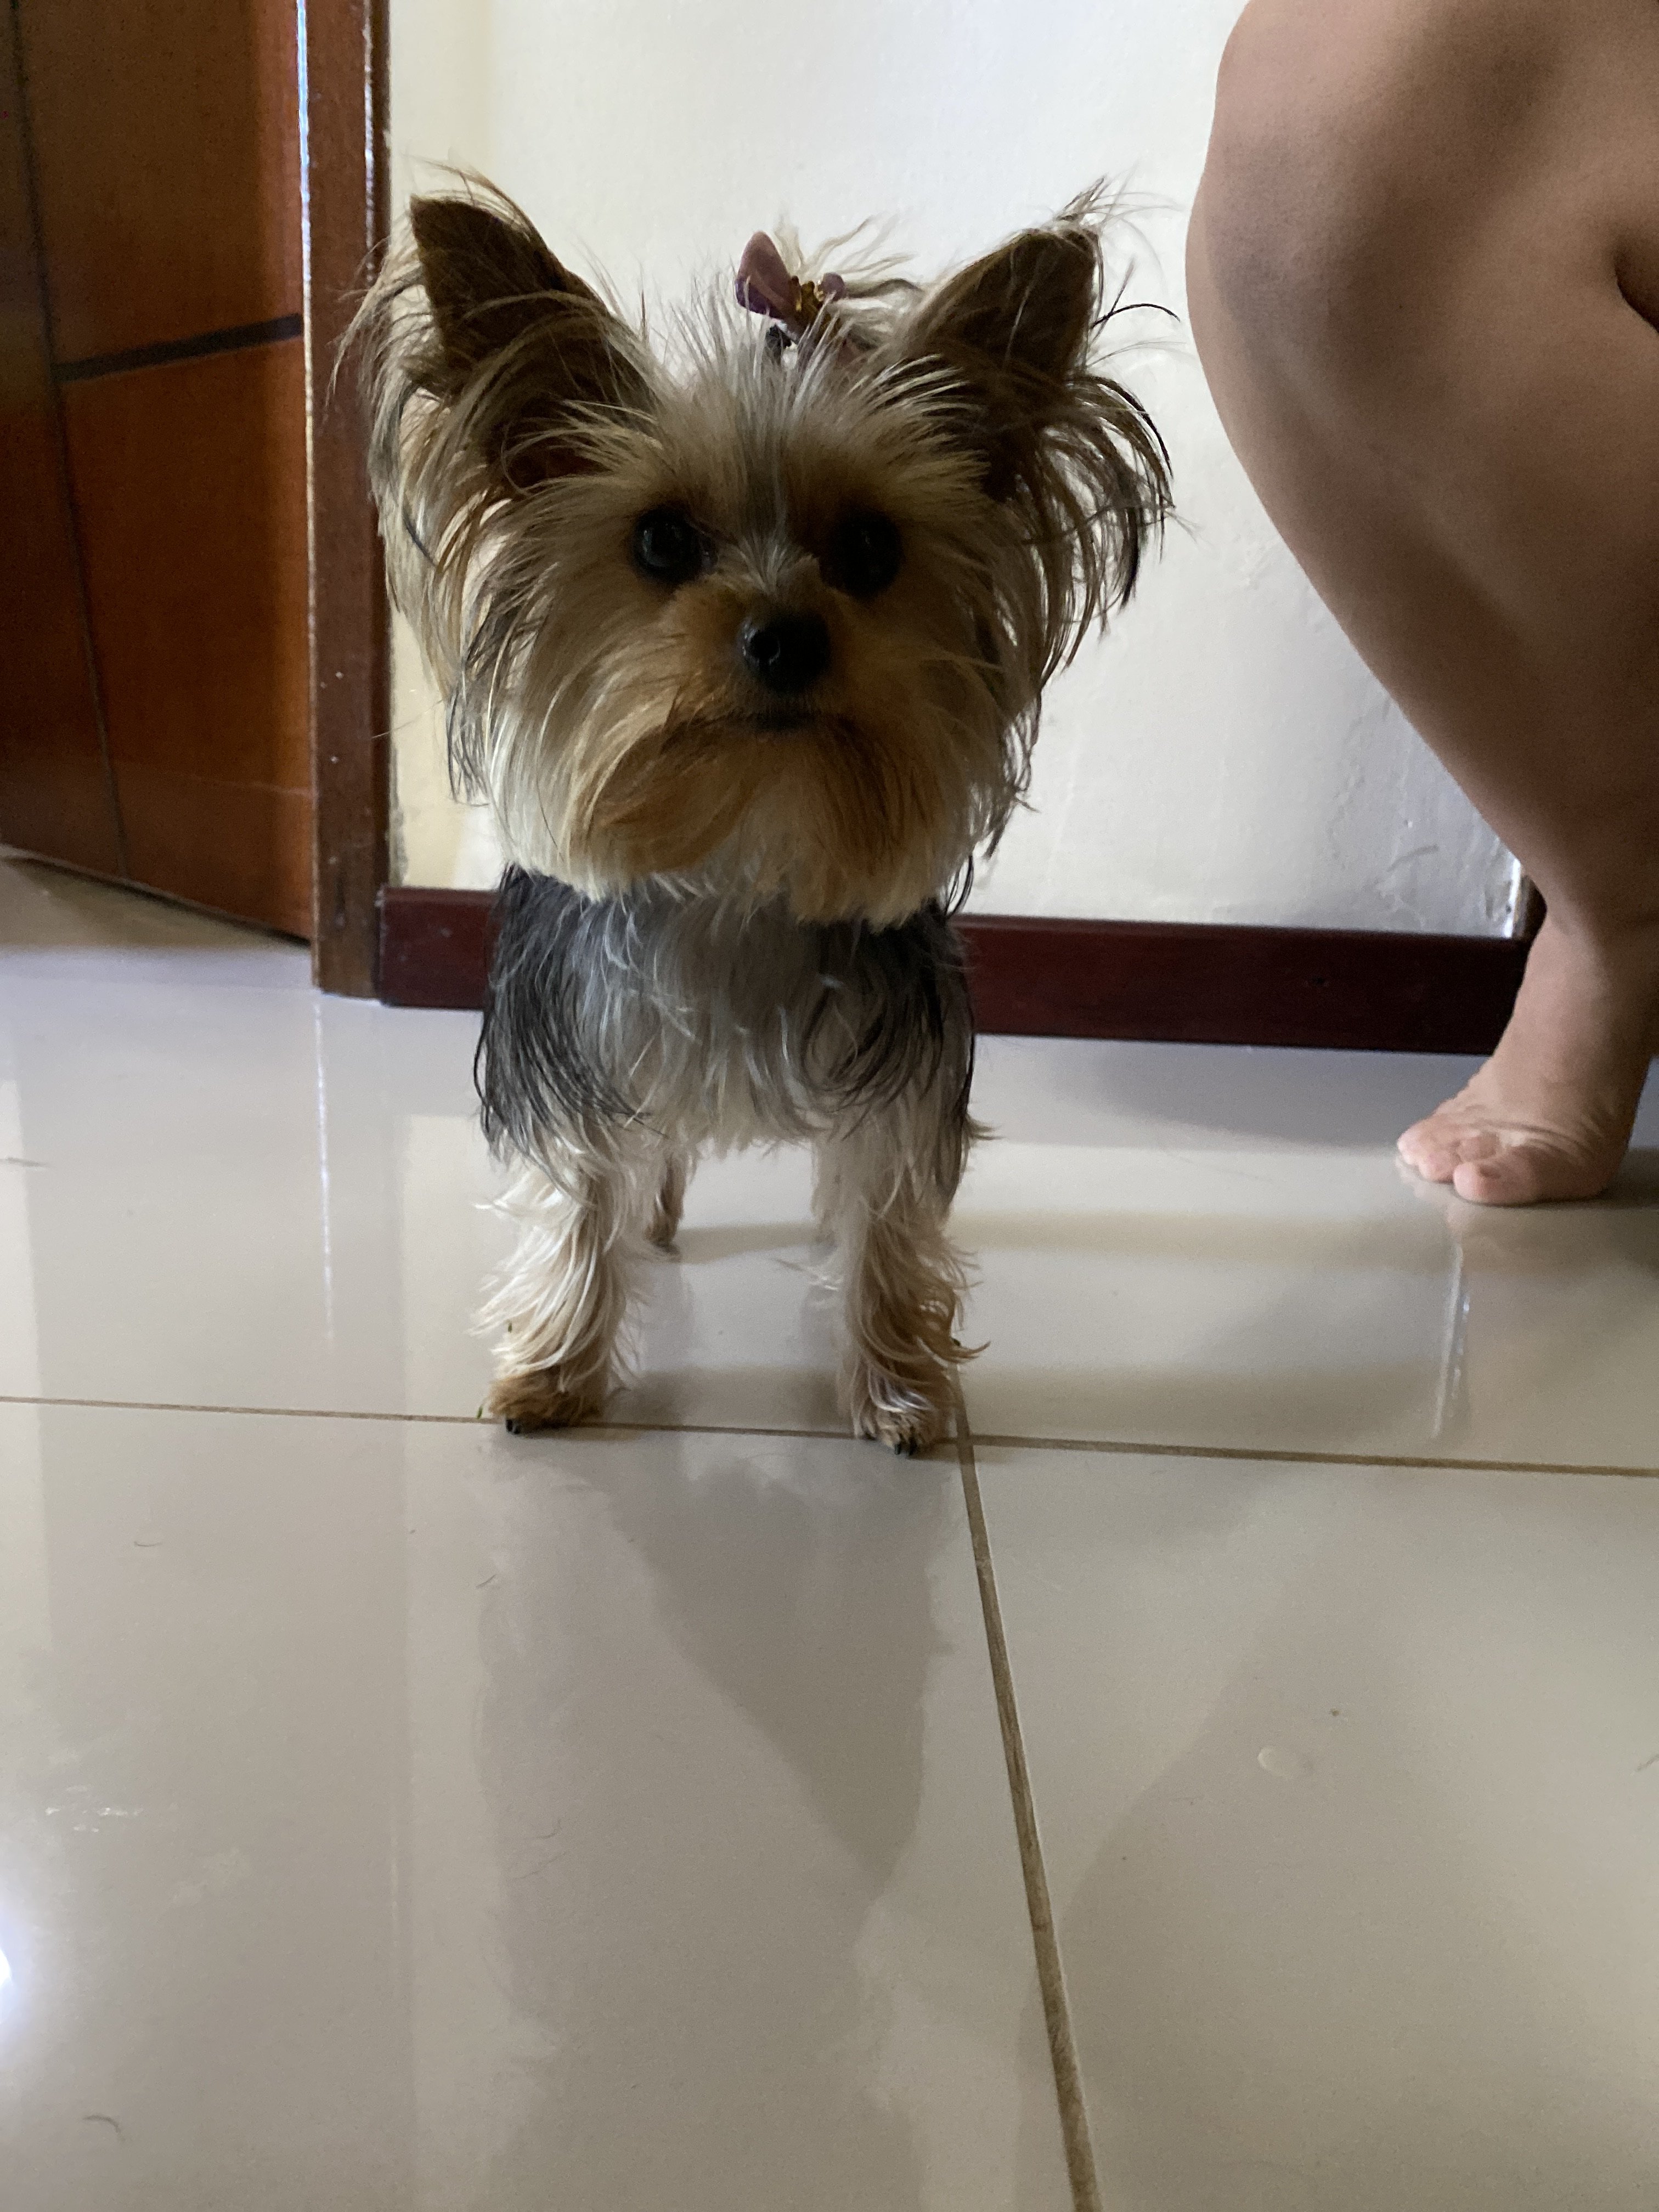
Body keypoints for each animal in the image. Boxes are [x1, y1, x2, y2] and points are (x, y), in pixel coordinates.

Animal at [356, 183, 1169, 1451]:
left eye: (873, 548)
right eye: (659, 541)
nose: (785, 634)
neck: (744, 853)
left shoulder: (901, 1080)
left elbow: (885, 1216)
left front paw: (898, 1386)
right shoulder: (571, 1052)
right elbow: (576, 1197)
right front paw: (555, 1369)